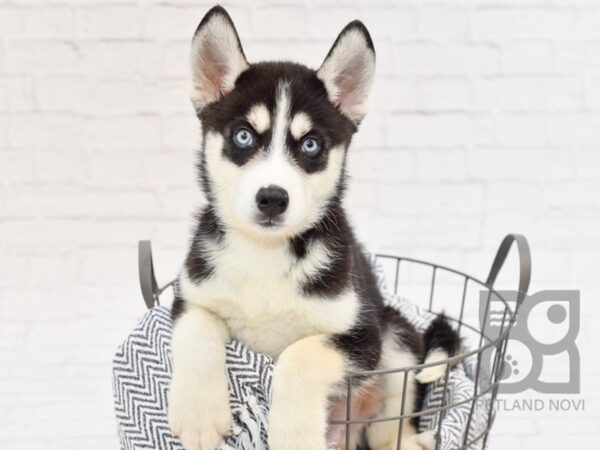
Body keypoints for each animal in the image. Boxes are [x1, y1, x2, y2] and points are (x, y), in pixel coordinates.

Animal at [169, 6, 460, 450]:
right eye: (243, 136)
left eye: (310, 145)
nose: (272, 198)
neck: (266, 252)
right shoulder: (190, 293)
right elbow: (197, 325)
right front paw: (198, 415)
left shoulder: (362, 336)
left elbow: (300, 355)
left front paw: (294, 435)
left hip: (395, 334)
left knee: (391, 419)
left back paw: (407, 440)